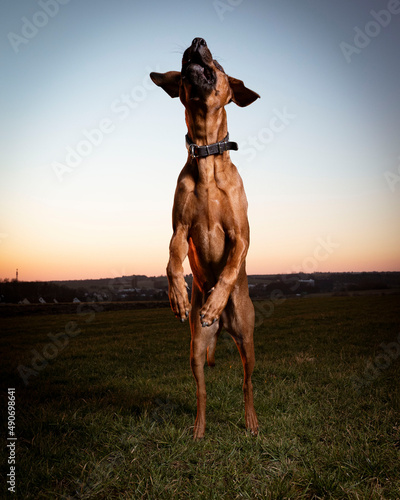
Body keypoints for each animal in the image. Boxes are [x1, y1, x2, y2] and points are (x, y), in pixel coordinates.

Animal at [150, 38, 260, 438]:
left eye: (220, 64)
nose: (197, 41)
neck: (207, 158)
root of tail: (223, 331)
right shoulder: (179, 230)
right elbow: (171, 262)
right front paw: (180, 297)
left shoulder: (241, 235)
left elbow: (227, 271)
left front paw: (213, 302)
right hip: (196, 348)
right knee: (201, 392)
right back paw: (198, 429)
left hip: (247, 341)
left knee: (247, 384)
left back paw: (251, 421)